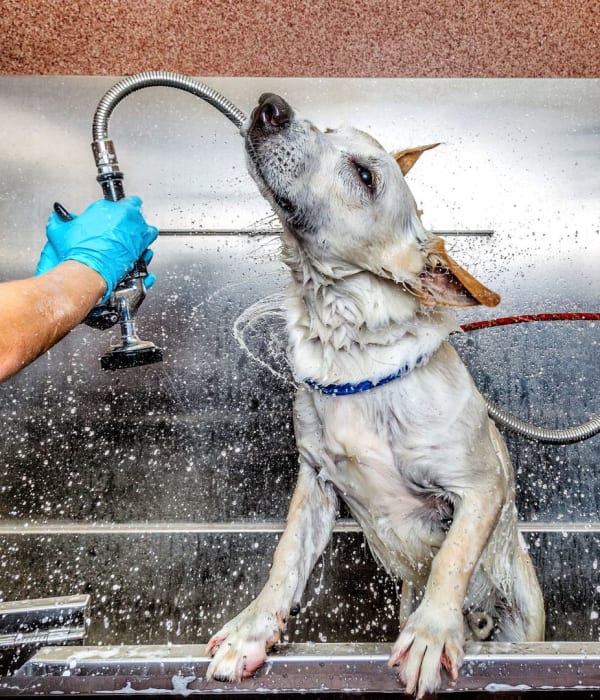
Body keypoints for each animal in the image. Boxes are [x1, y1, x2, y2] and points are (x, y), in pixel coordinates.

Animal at [205, 93, 544, 696]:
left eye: (365, 175)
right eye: (328, 128)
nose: (270, 105)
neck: (350, 354)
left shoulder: (480, 489)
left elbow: (452, 558)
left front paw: (432, 634)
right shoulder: (314, 484)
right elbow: (284, 557)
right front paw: (251, 631)